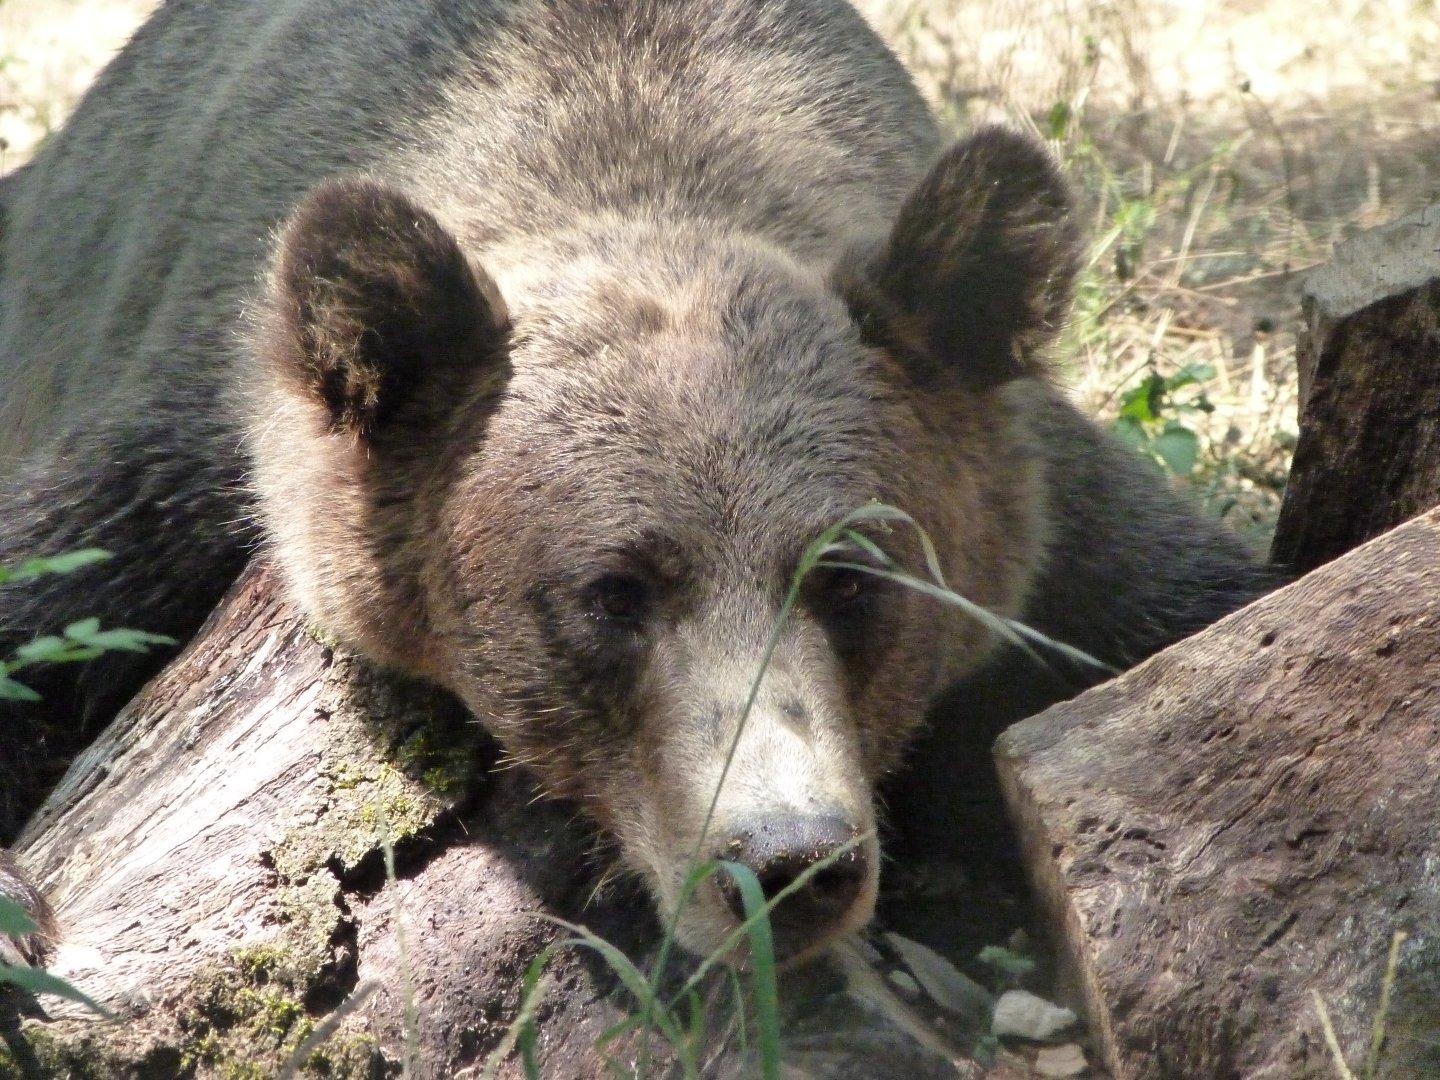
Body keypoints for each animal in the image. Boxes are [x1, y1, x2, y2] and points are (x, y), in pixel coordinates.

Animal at [0, 0, 1273, 967]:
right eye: (614, 591)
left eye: (852, 577)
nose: (786, 863)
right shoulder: (184, 461)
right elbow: (45, 594)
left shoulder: (1050, 521)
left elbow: (1199, 602)